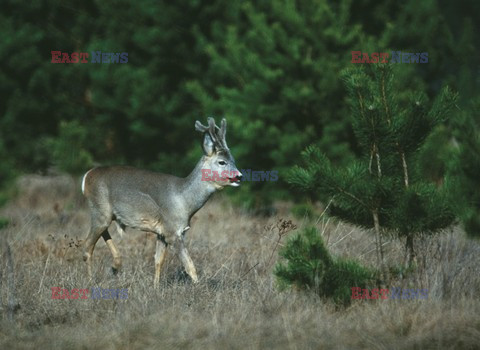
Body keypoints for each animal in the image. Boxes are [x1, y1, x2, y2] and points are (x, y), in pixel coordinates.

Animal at [81, 117, 244, 288]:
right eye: (222, 162)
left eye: (233, 160)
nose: (239, 176)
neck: (184, 200)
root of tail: (87, 176)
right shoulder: (173, 231)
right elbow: (190, 265)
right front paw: (199, 289)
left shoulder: (162, 232)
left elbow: (158, 261)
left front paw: (155, 287)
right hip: (99, 209)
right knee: (86, 247)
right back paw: (91, 282)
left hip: (106, 214)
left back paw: (115, 265)